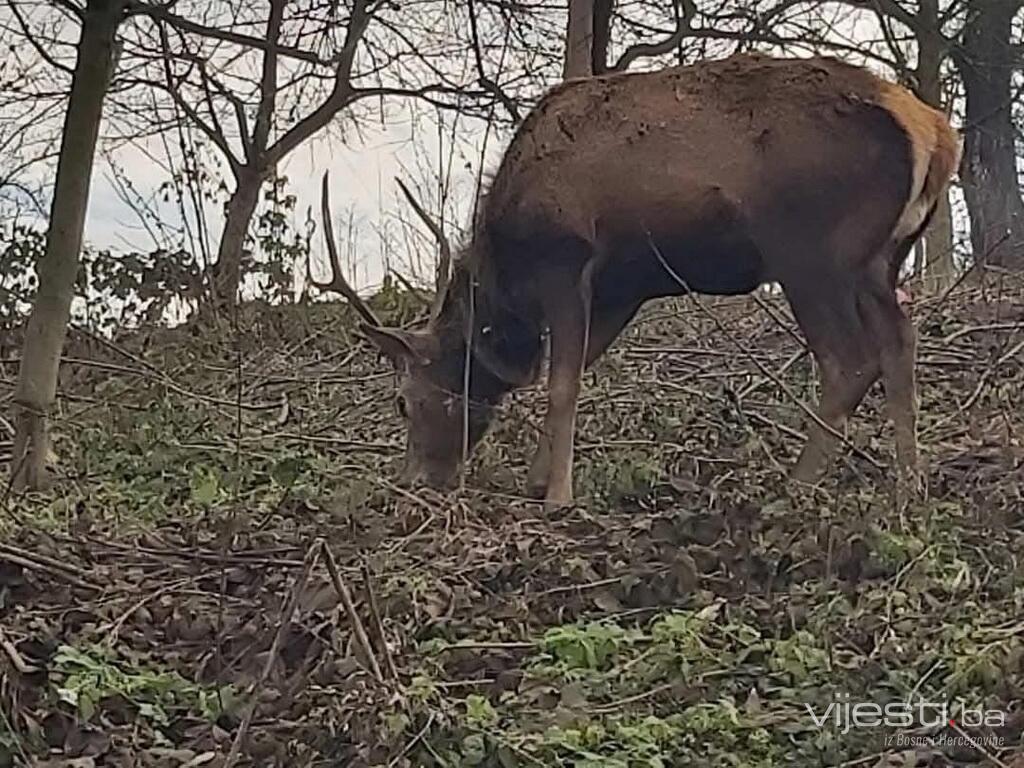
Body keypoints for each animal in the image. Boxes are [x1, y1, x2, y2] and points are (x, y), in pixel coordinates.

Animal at [346, 54, 958, 512]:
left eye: (404, 401)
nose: (415, 480)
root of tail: (936, 133)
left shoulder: (566, 257)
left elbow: (561, 383)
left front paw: (558, 497)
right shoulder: (624, 287)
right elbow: (575, 366)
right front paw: (538, 480)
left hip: (809, 248)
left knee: (849, 359)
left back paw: (795, 486)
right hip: (881, 259)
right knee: (899, 341)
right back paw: (911, 484)